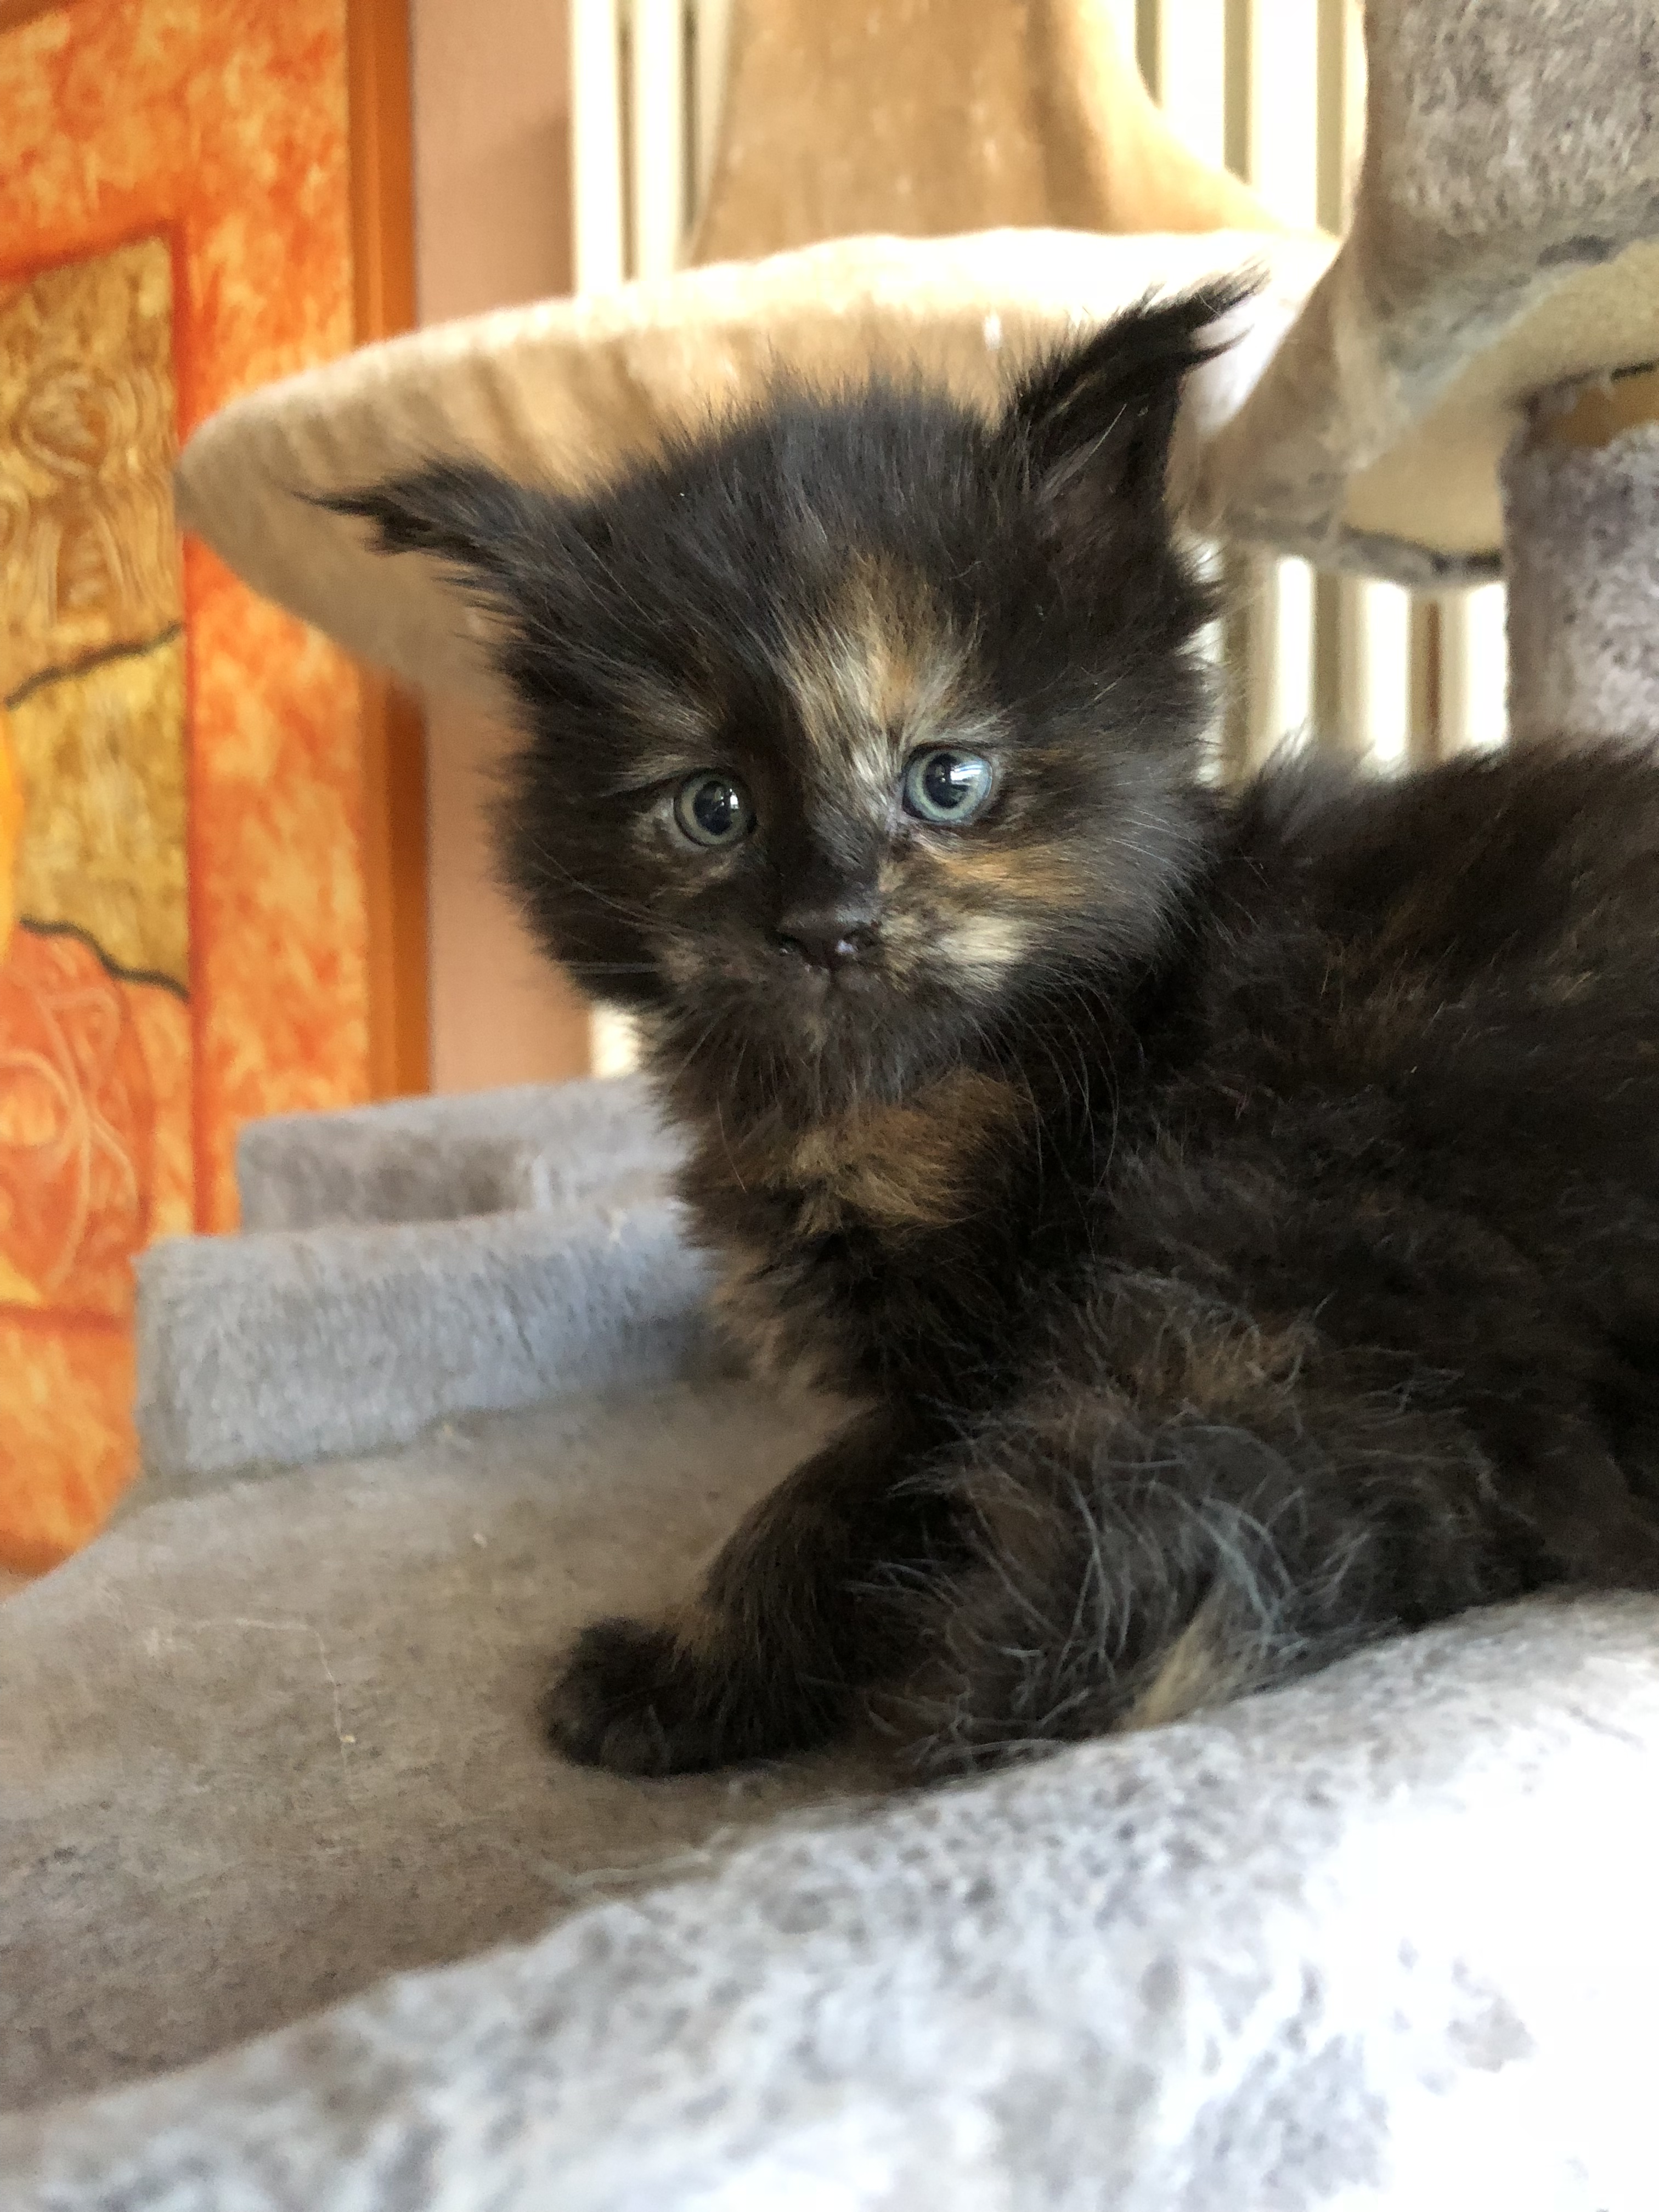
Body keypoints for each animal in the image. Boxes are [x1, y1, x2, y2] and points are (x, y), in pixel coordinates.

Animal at [332, 281, 1659, 1779]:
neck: (893, 1095)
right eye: (713, 808)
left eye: (948, 781)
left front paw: (682, 1669)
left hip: (1278, 1205)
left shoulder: (980, 1345)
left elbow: (818, 1497)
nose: (831, 925)